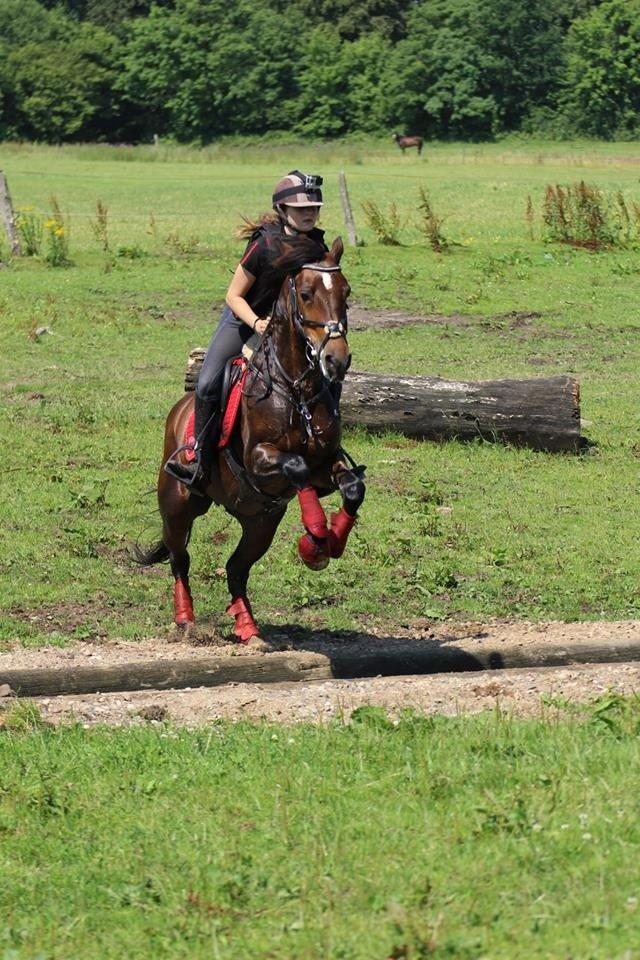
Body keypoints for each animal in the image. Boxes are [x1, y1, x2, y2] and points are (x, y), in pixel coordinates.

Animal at [136, 235, 366, 644]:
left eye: (346, 292)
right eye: (306, 294)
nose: (337, 360)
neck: (296, 392)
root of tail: (179, 410)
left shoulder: (327, 464)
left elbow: (352, 487)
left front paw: (325, 545)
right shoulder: (260, 461)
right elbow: (295, 465)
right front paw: (316, 536)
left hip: (260, 522)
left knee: (236, 568)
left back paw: (247, 626)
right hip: (178, 504)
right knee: (180, 558)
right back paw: (186, 619)